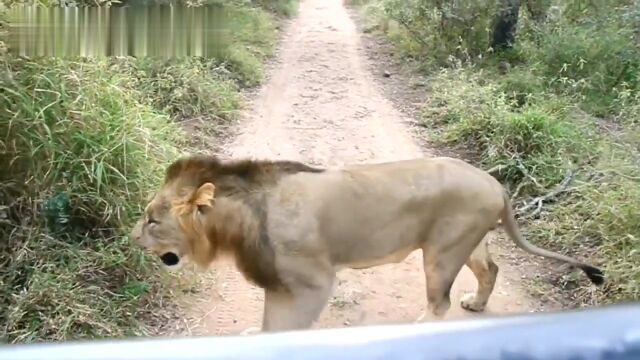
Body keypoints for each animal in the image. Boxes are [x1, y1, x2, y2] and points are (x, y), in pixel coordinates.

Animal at [131, 156, 604, 334]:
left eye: (152, 220)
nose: (132, 239)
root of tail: (496, 184)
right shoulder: (280, 283)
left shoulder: (312, 283)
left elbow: (284, 325)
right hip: (467, 243)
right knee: (491, 270)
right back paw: (477, 304)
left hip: (442, 253)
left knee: (440, 303)